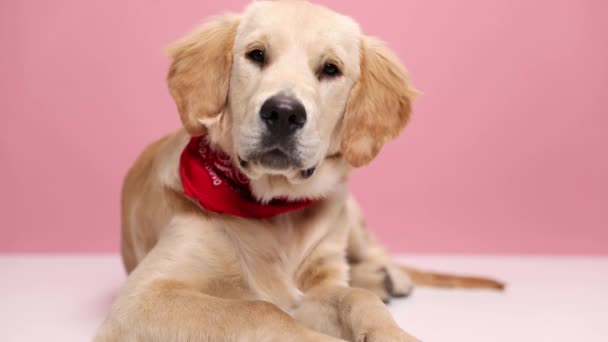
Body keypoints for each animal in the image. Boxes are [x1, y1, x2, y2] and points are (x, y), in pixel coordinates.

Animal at [96, 0, 504, 342]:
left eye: (331, 69)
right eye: (256, 55)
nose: (283, 113)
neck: (275, 209)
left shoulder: (319, 285)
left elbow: (356, 298)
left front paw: (393, 333)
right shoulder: (145, 296)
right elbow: (261, 310)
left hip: (351, 220)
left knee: (373, 257)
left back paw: (389, 277)